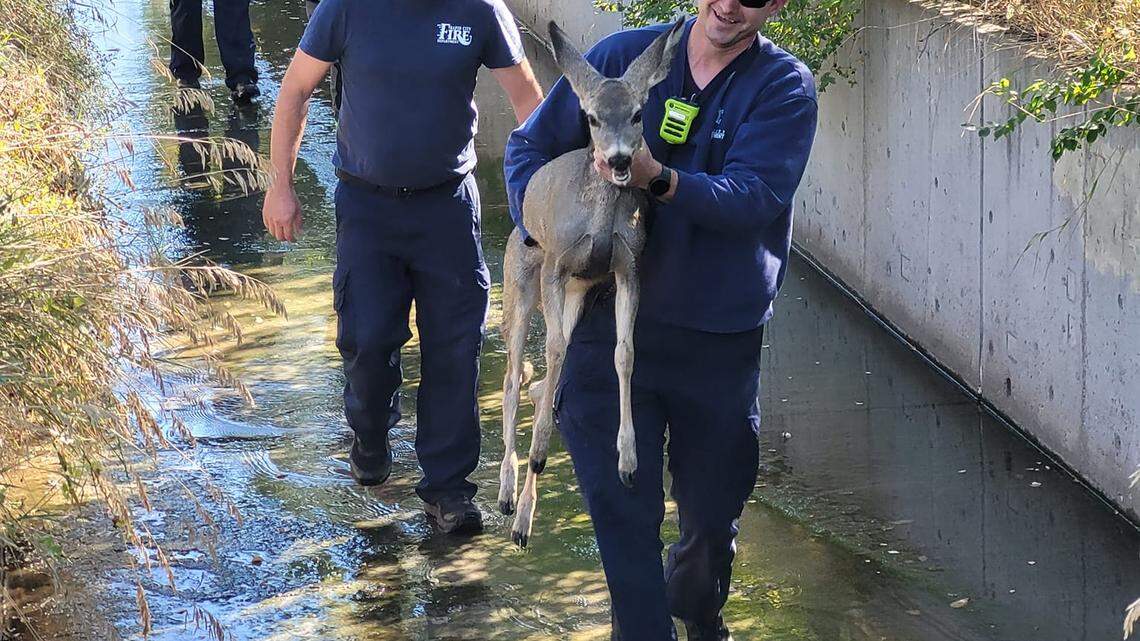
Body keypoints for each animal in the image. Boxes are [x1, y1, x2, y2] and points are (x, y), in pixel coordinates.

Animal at [497, 19, 685, 548]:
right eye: (593, 119)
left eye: (639, 113)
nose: (620, 160)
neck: (598, 220)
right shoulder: (556, 265)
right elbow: (554, 350)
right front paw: (540, 449)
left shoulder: (627, 267)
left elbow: (624, 353)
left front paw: (629, 459)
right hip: (520, 284)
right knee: (513, 377)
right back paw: (509, 492)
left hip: (578, 294)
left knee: (543, 379)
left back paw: (524, 514)